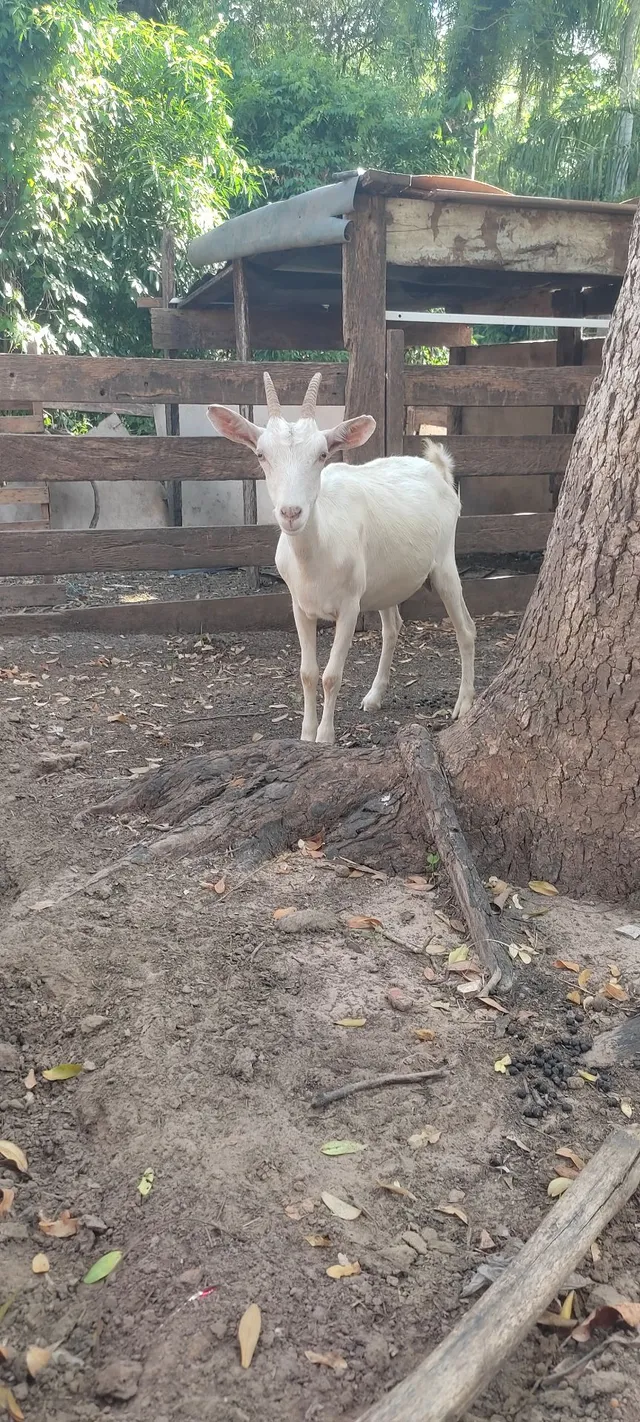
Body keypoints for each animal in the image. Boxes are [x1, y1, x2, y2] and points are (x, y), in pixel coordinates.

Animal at [207, 371, 475, 745]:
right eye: (261, 454)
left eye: (322, 454)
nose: (291, 512)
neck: (315, 557)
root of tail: (438, 470)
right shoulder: (299, 606)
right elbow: (307, 673)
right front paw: (306, 735)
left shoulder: (349, 606)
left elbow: (331, 675)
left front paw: (325, 737)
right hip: (384, 581)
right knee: (392, 627)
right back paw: (374, 697)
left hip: (444, 563)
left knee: (466, 628)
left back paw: (464, 704)